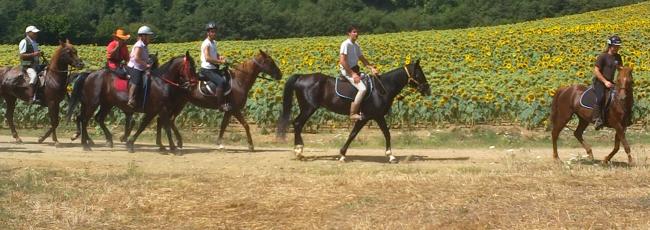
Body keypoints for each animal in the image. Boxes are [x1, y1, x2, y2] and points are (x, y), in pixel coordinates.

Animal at [67, 52, 197, 153]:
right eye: (191, 67)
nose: (194, 83)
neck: (161, 82)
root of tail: (90, 74)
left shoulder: (153, 110)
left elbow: (143, 126)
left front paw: (130, 143)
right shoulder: (162, 109)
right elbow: (166, 127)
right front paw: (173, 147)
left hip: (105, 104)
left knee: (96, 118)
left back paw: (106, 140)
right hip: (92, 103)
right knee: (84, 120)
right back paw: (85, 144)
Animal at [153, 49, 282, 152]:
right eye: (270, 62)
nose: (280, 75)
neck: (239, 81)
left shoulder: (229, 111)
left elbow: (223, 126)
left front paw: (219, 143)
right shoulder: (234, 109)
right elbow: (246, 125)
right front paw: (250, 145)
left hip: (180, 103)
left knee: (167, 120)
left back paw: (170, 143)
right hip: (174, 103)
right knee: (165, 120)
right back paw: (170, 143)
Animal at [274, 60, 430, 163]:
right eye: (419, 74)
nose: (427, 89)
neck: (382, 88)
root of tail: (301, 76)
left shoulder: (371, 117)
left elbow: (357, 134)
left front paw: (343, 154)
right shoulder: (372, 116)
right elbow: (373, 134)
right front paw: (391, 156)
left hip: (307, 108)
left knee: (297, 124)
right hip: (309, 108)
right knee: (297, 124)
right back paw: (299, 151)